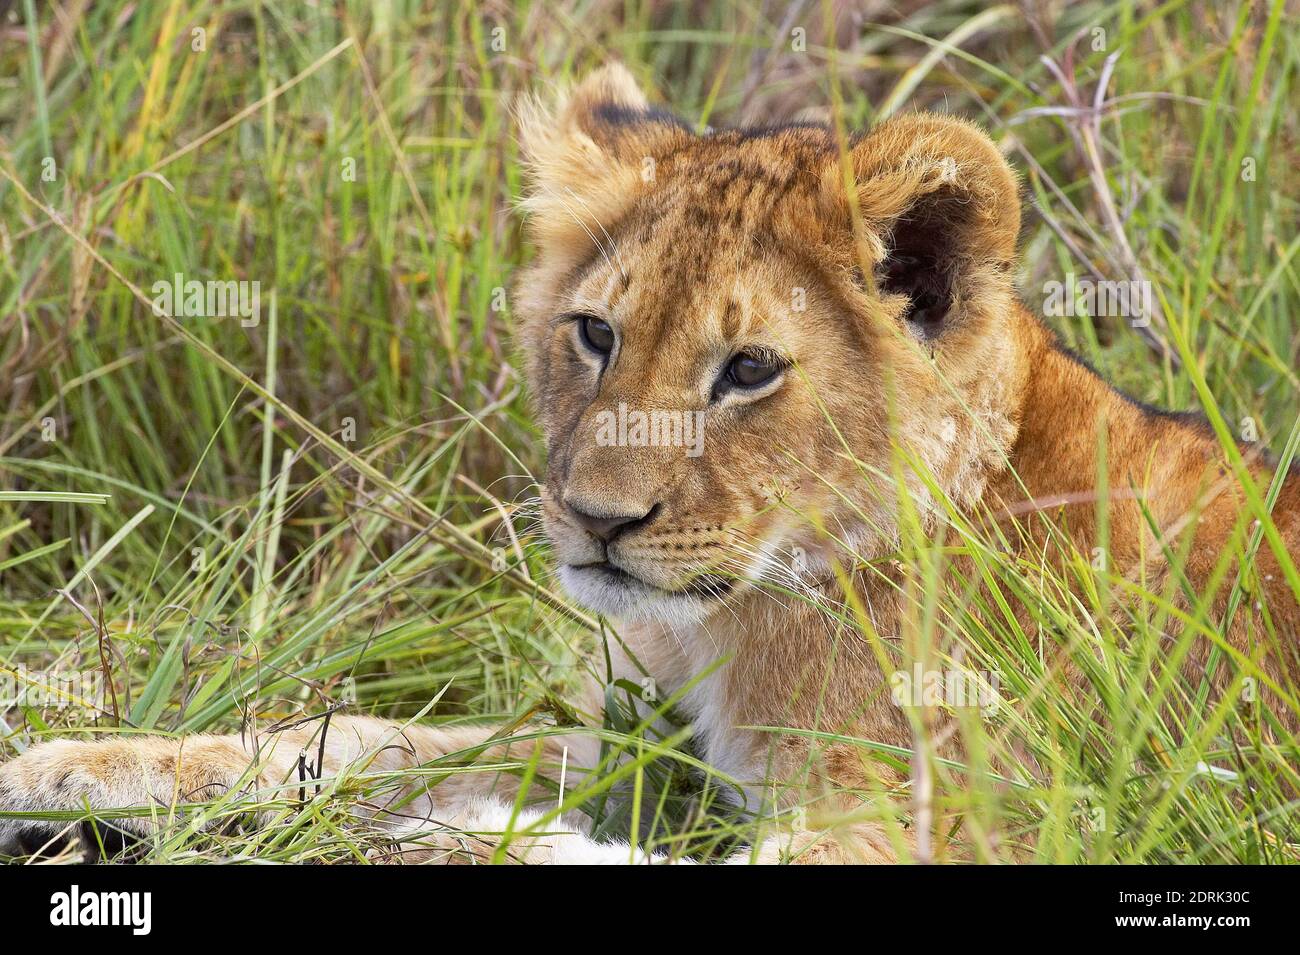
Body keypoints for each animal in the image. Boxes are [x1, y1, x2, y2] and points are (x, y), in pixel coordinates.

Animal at [2, 65, 1297, 864]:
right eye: (596, 333)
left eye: (747, 370)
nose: (595, 520)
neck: (736, 617)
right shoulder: (634, 734)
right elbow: (363, 738)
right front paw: (77, 769)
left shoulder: (953, 822)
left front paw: (458, 837)